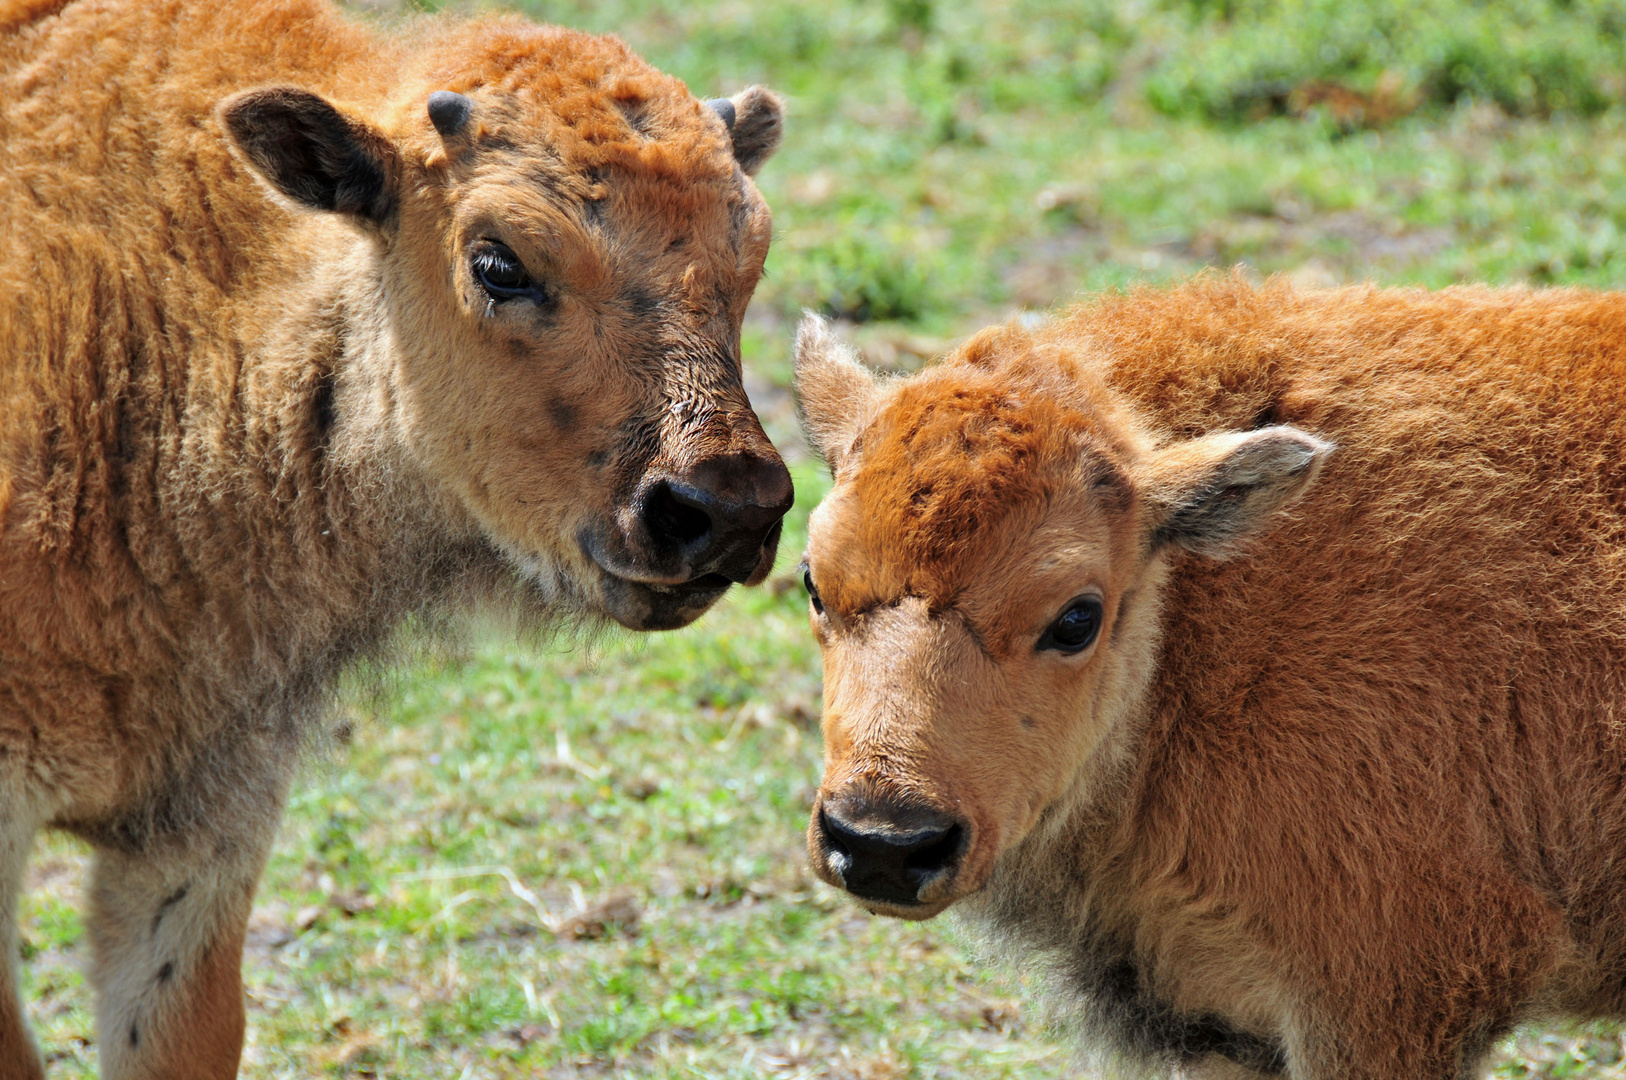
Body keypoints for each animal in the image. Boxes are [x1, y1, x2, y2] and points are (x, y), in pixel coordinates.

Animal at [793, 278, 1626, 1080]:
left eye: (1077, 619)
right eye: (810, 581)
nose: (881, 843)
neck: (1199, 624)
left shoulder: (1387, 998)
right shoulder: (1230, 1018)